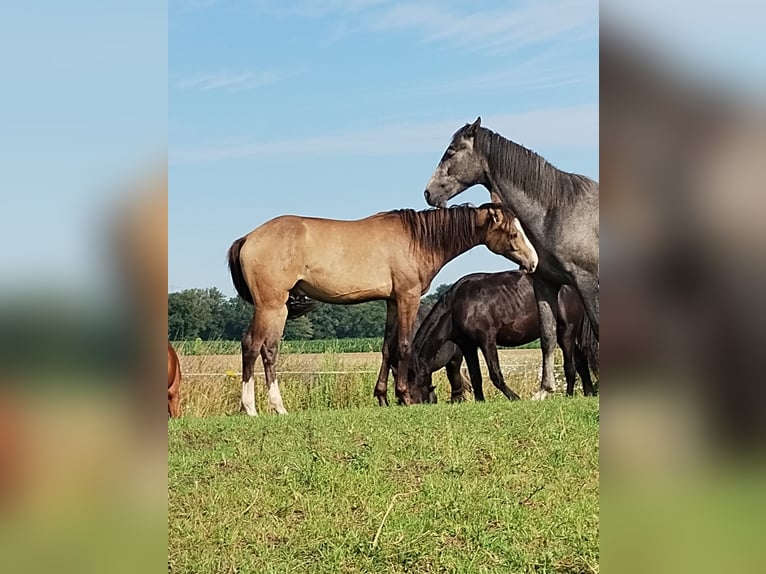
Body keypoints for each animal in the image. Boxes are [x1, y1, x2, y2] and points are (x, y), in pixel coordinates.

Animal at [408, 270, 600, 404]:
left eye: (410, 380)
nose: (410, 403)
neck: (457, 306)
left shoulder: (487, 340)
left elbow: (495, 374)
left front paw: (514, 397)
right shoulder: (468, 345)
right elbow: (476, 376)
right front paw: (480, 401)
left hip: (567, 330)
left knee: (570, 366)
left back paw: (569, 395)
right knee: (581, 361)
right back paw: (588, 393)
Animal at [426, 117, 600, 400]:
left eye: (451, 152)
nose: (428, 193)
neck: (556, 212)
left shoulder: (586, 281)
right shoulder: (545, 284)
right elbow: (547, 337)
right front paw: (544, 390)